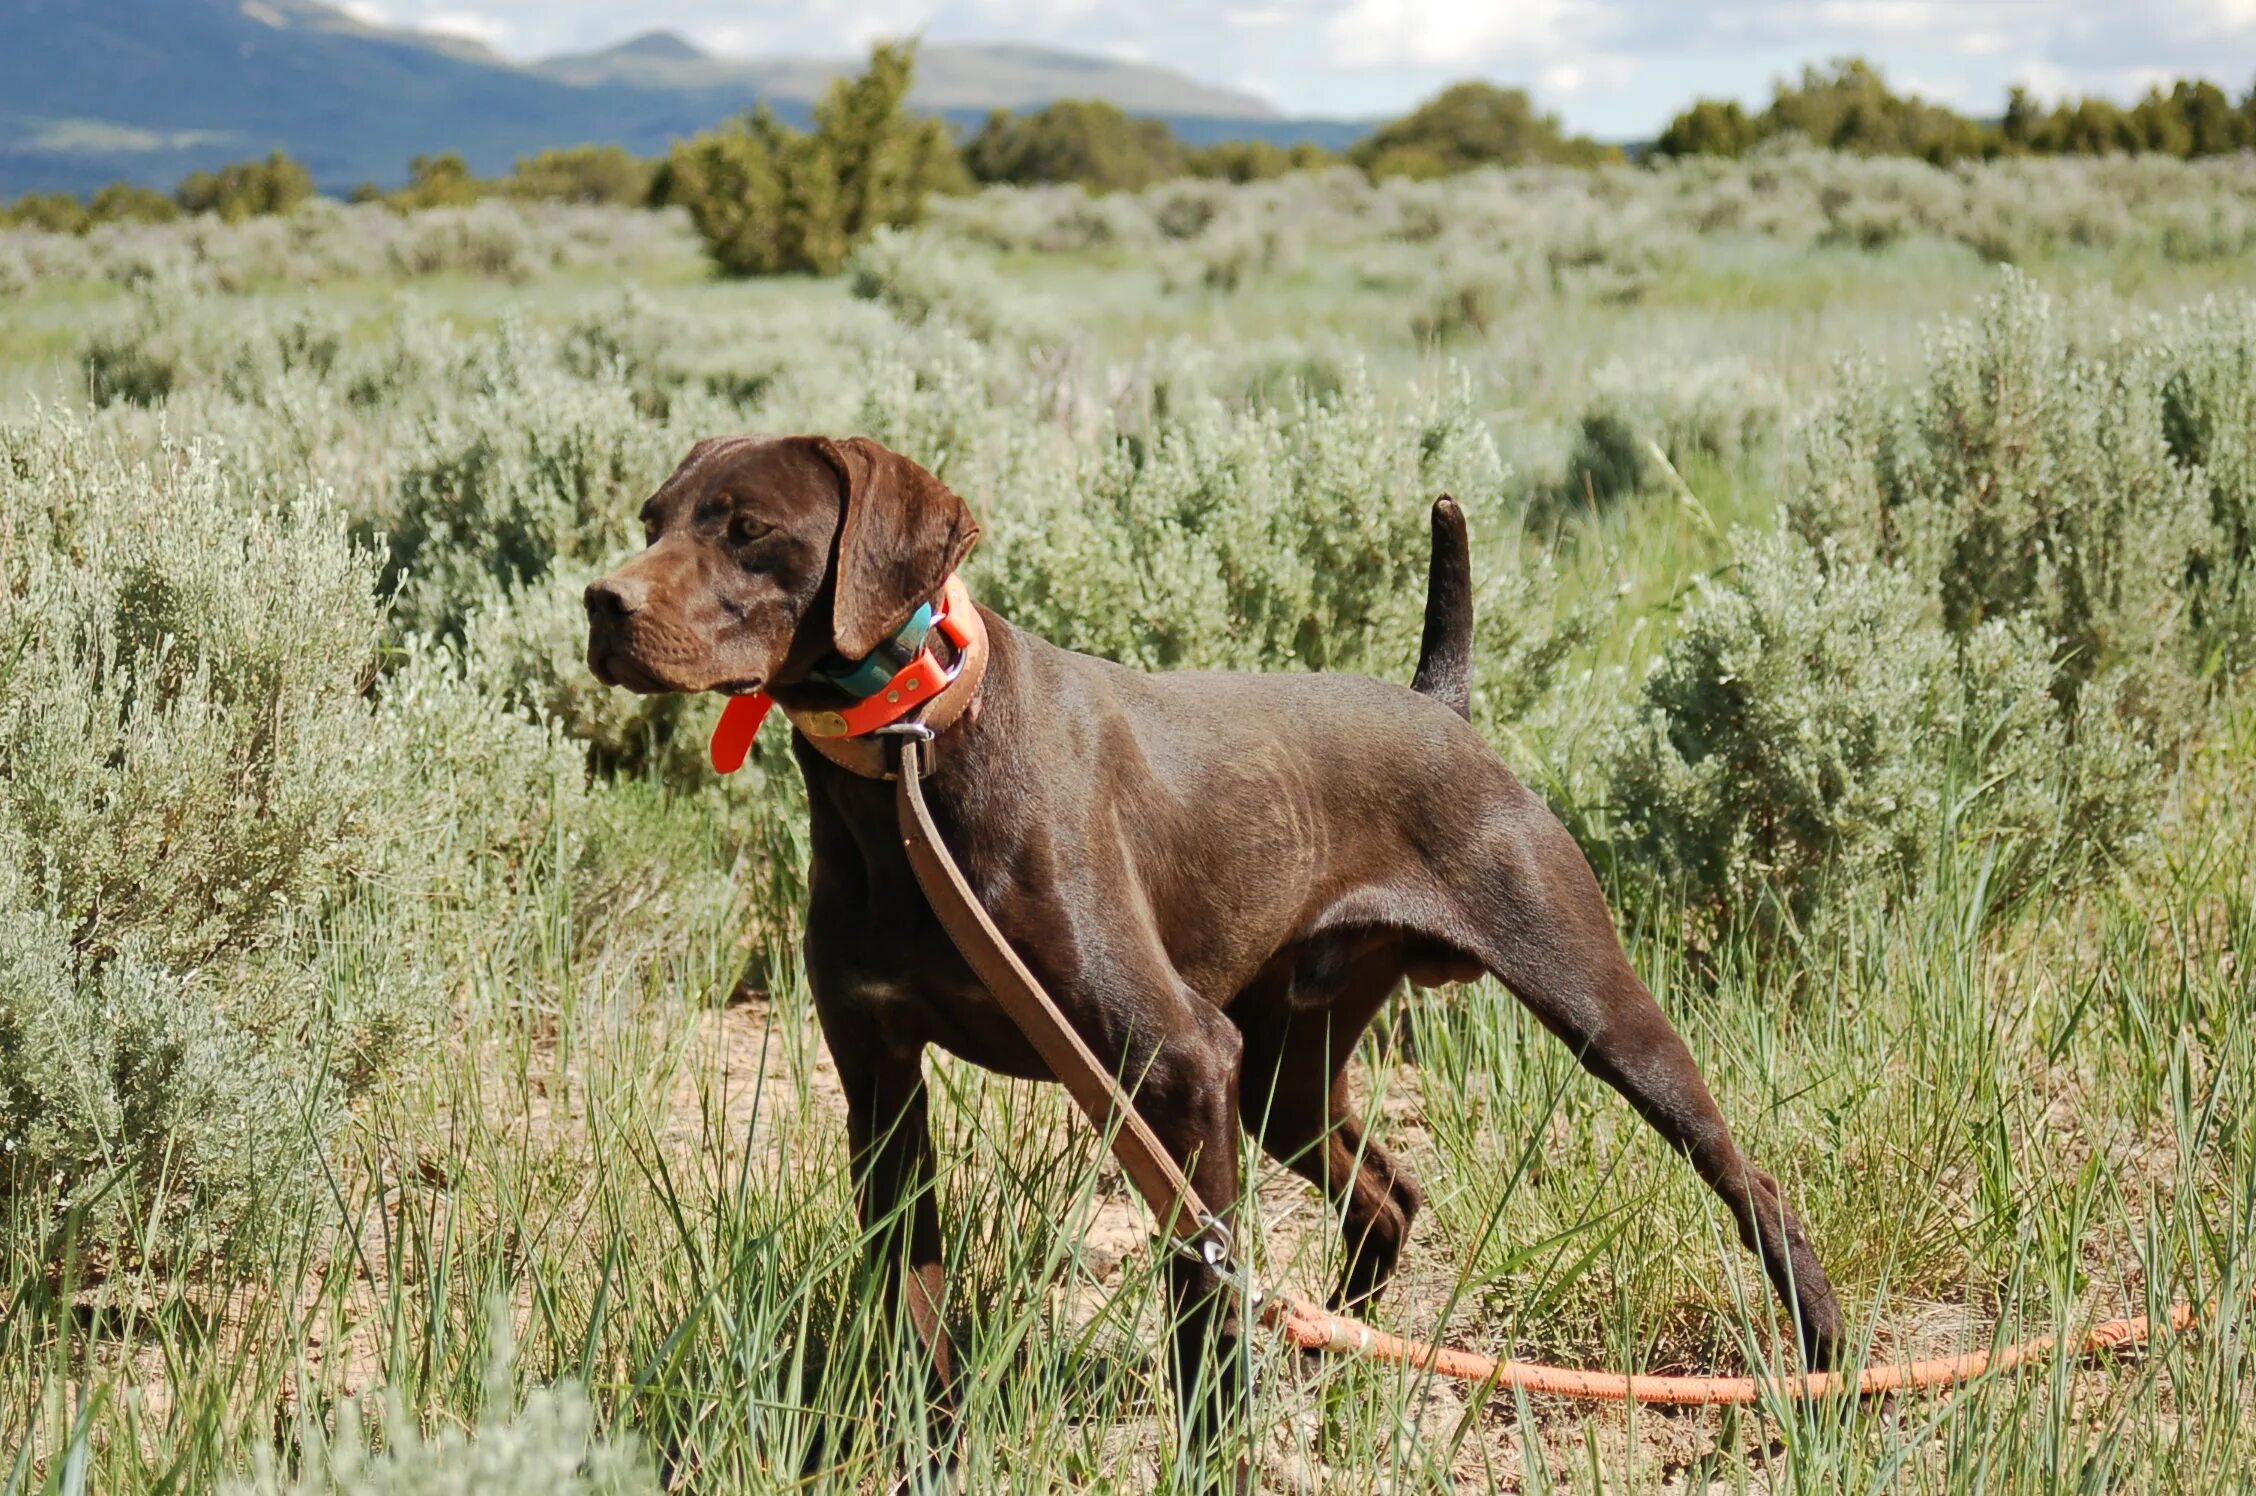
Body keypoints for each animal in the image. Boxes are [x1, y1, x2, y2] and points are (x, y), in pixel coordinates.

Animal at [591, 435, 1840, 1462]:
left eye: (751, 529)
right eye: (654, 515)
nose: (600, 602)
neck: (914, 751)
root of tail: (1443, 708)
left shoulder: (1180, 1061)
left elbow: (1199, 1306)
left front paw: (1211, 1452)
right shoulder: (881, 1082)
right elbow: (917, 1307)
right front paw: (930, 1452)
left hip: (1590, 1002)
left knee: (1750, 1179)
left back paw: (1824, 1369)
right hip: (1288, 1070)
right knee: (1388, 1197)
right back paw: (1334, 1367)